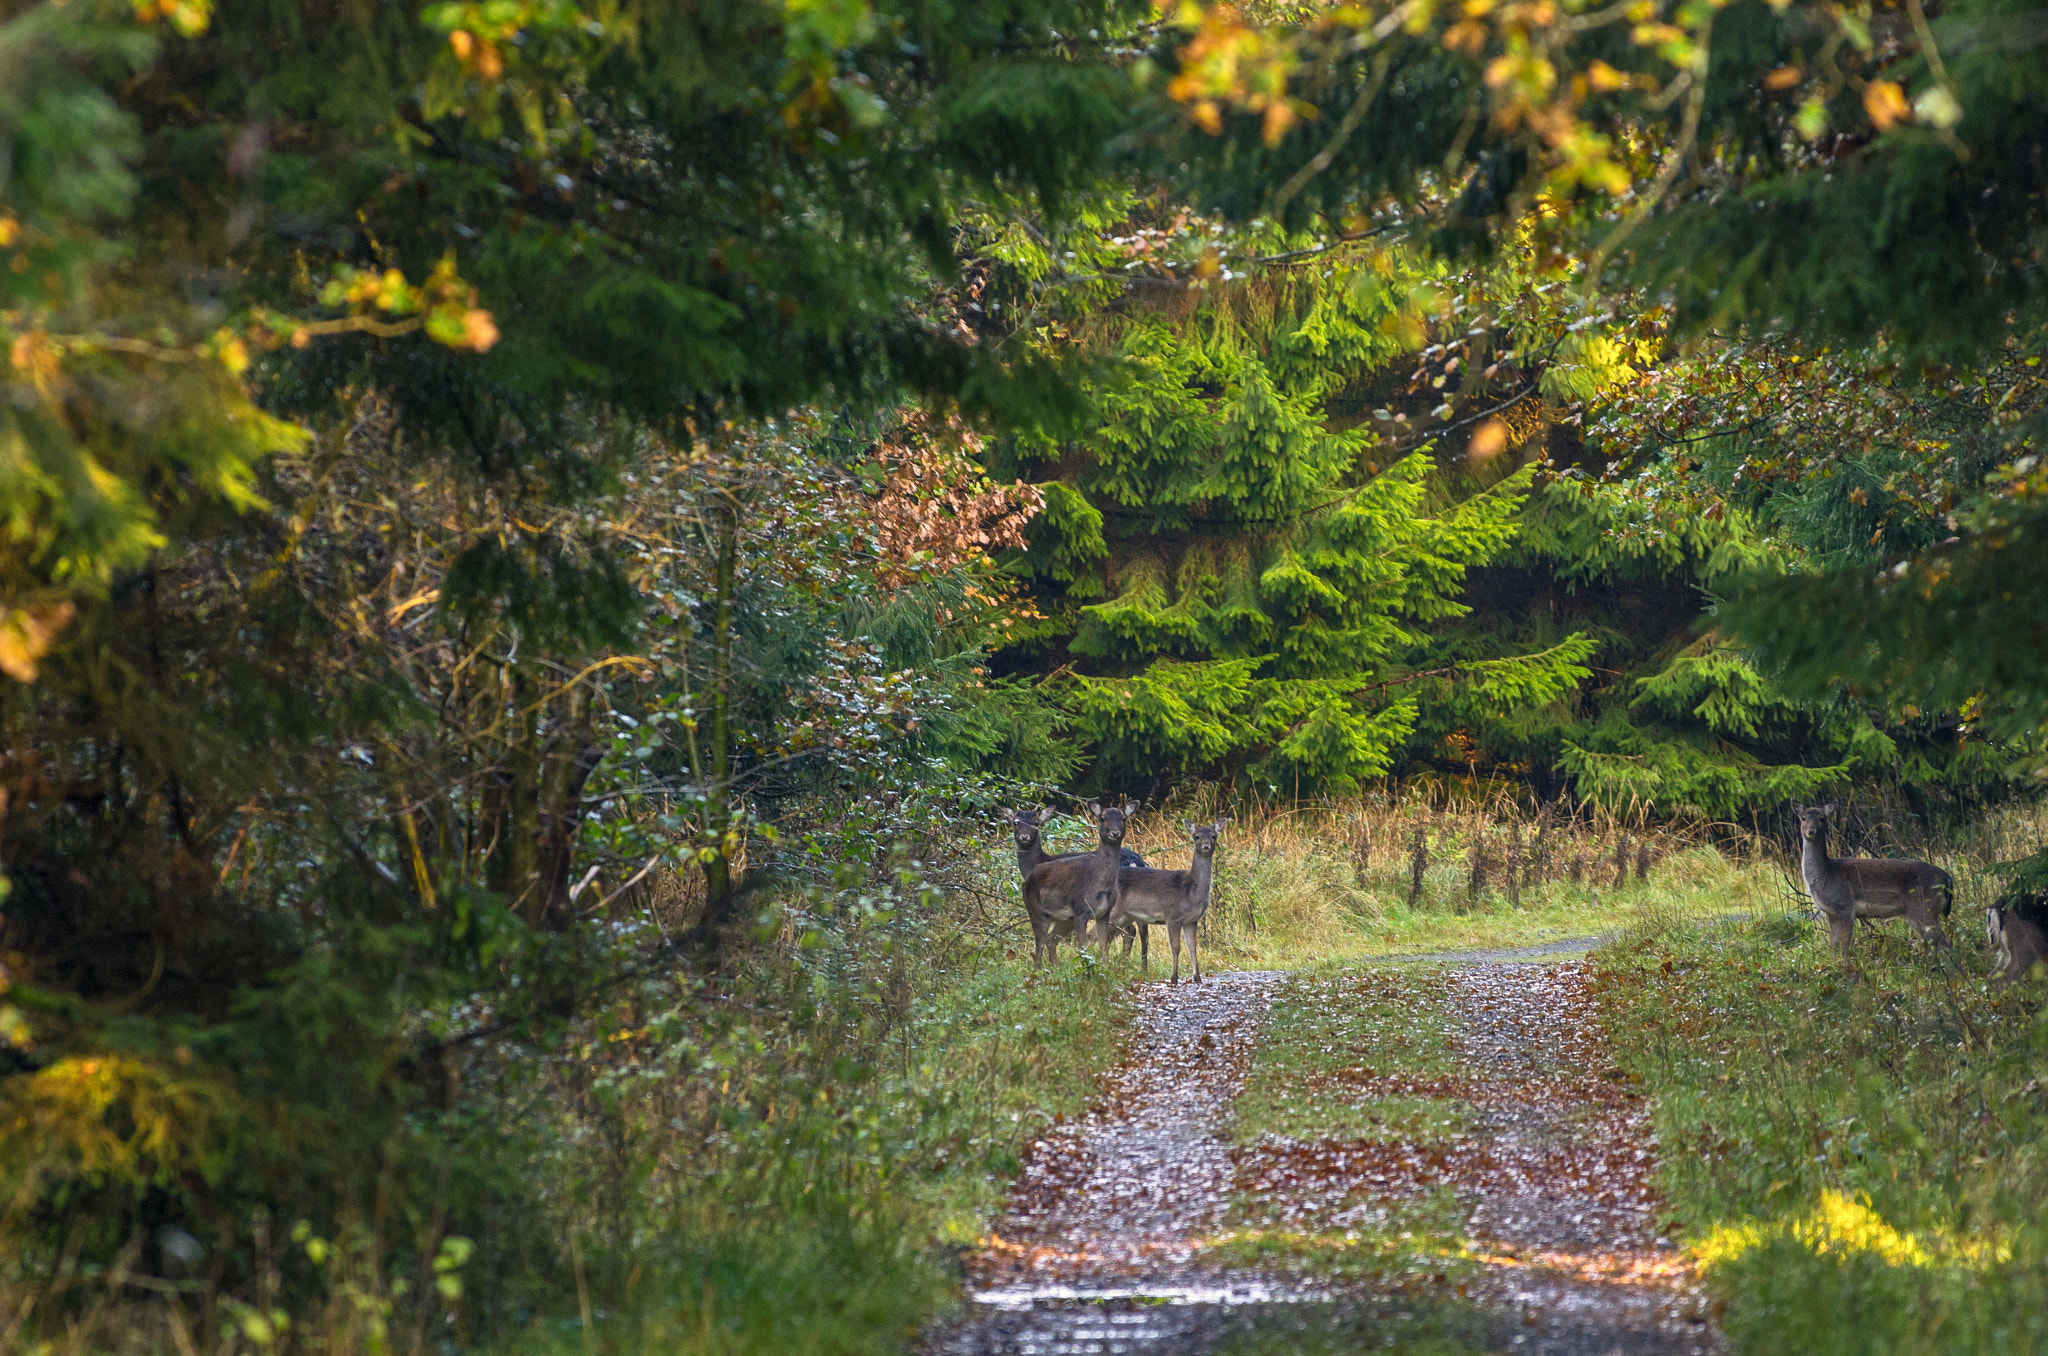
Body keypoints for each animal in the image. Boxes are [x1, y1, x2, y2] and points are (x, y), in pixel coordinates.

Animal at [1007, 806, 1150, 956]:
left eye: (1035, 823)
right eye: (1015, 822)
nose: (1024, 837)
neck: (1038, 862)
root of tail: (1142, 863)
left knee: (1130, 929)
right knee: (1139, 930)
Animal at [1108, 817, 1225, 983]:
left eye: (1214, 836)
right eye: (1196, 836)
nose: (1206, 846)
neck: (1190, 890)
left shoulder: (1191, 920)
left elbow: (1193, 947)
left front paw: (1197, 978)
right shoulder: (1172, 916)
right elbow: (1176, 947)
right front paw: (1174, 978)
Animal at [1795, 804, 1953, 965]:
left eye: (1822, 818)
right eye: (1803, 818)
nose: (1811, 831)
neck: (1825, 876)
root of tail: (1947, 879)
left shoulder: (1845, 906)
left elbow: (1845, 943)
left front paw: (1845, 967)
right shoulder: (1831, 913)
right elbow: (1833, 944)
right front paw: (1833, 965)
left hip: (1924, 907)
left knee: (1943, 940)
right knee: (1934, 941)